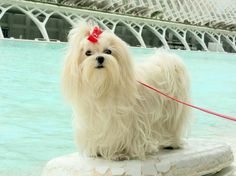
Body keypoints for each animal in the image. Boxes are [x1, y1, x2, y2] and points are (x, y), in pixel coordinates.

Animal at [61, 22, 191, 160]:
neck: (102, 85)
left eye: (108, 51)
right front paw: (97, 150)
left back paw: (171, 143)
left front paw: (119, 153)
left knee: (172, 126)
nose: (100, 58)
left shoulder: (125, 121)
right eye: (88, 53)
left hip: (171, 110)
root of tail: (165, 61)